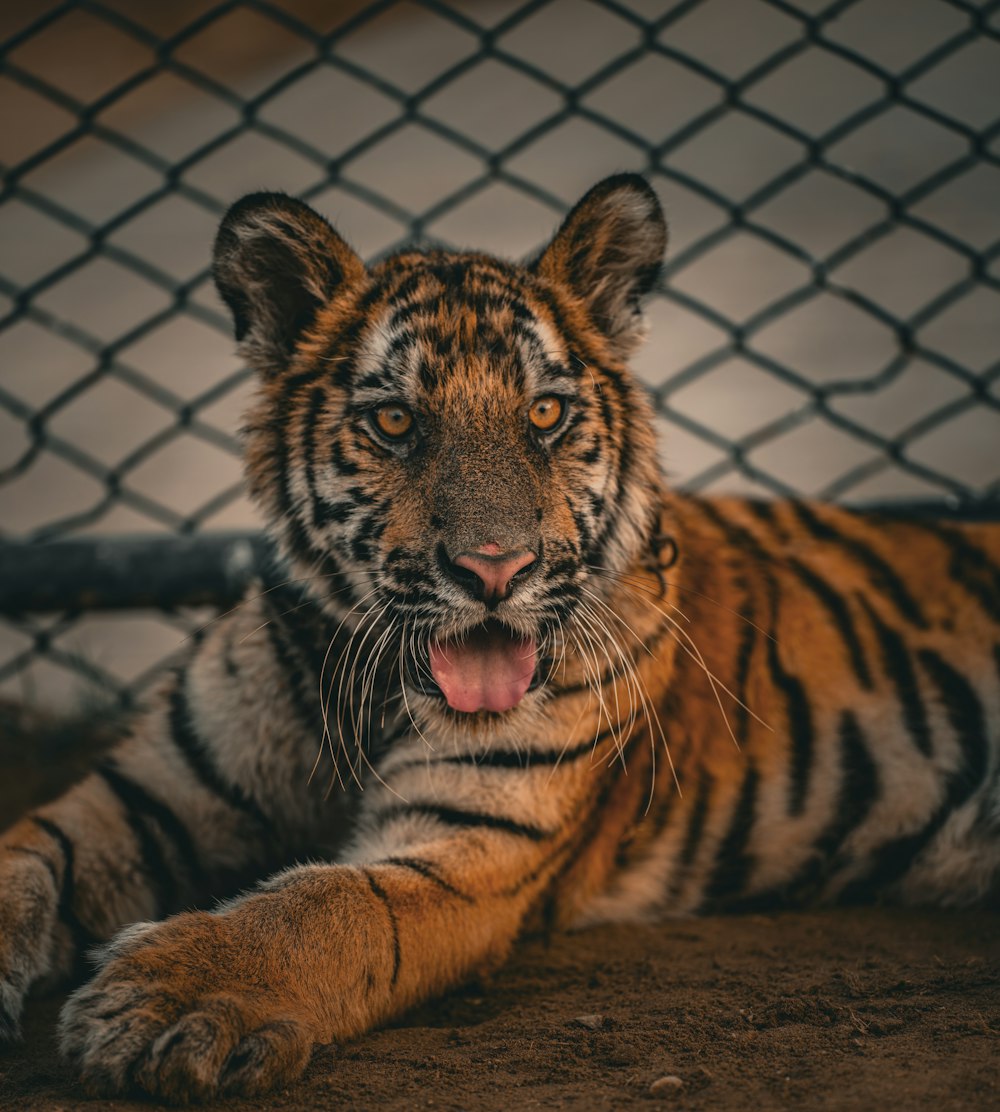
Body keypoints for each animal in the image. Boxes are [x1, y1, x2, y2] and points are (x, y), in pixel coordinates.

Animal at [1, 175, 1000, 1103]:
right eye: (395, 420)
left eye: (546, 415)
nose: (494, 571)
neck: (355, 685)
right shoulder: (145, 798)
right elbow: (22, 854)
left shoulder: (473, 845)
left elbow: (323, 907)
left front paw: (161, 1002)